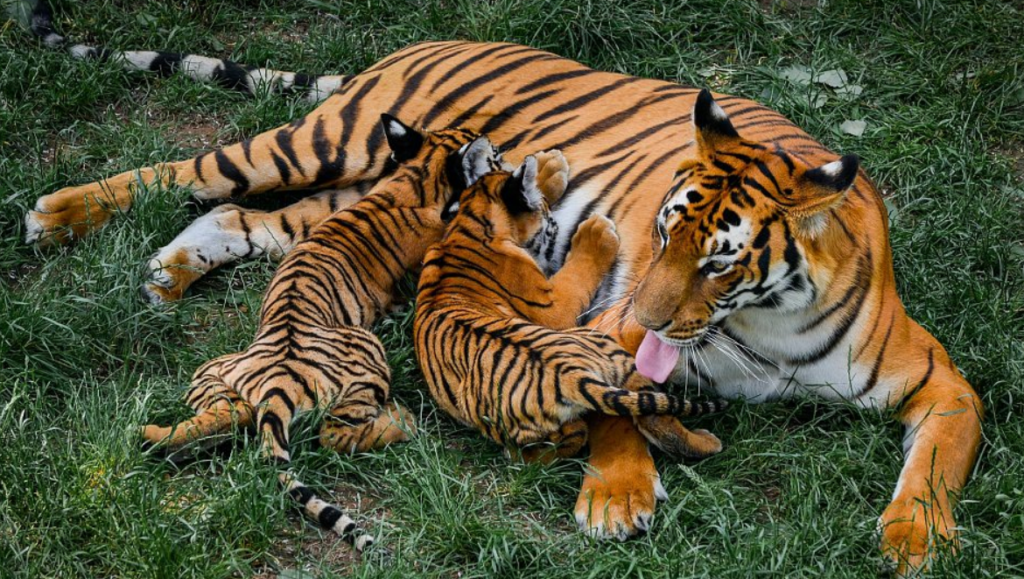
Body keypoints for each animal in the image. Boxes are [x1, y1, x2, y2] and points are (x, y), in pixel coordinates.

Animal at [141, 116, 504, 551]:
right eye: (494, 156)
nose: (506, 154)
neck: (415, 178)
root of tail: (278, 383)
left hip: (214, 370)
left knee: (232, 412)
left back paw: (153, 437)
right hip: (369, 357)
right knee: (333, 437)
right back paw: (403, 421)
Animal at [415, 150, 726, 464]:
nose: (556, 226)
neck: (467, 225)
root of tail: (570, 376)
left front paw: (547, 166)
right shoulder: (553, 308)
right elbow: (577, 272)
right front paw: (596, 232)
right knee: (583, 433)